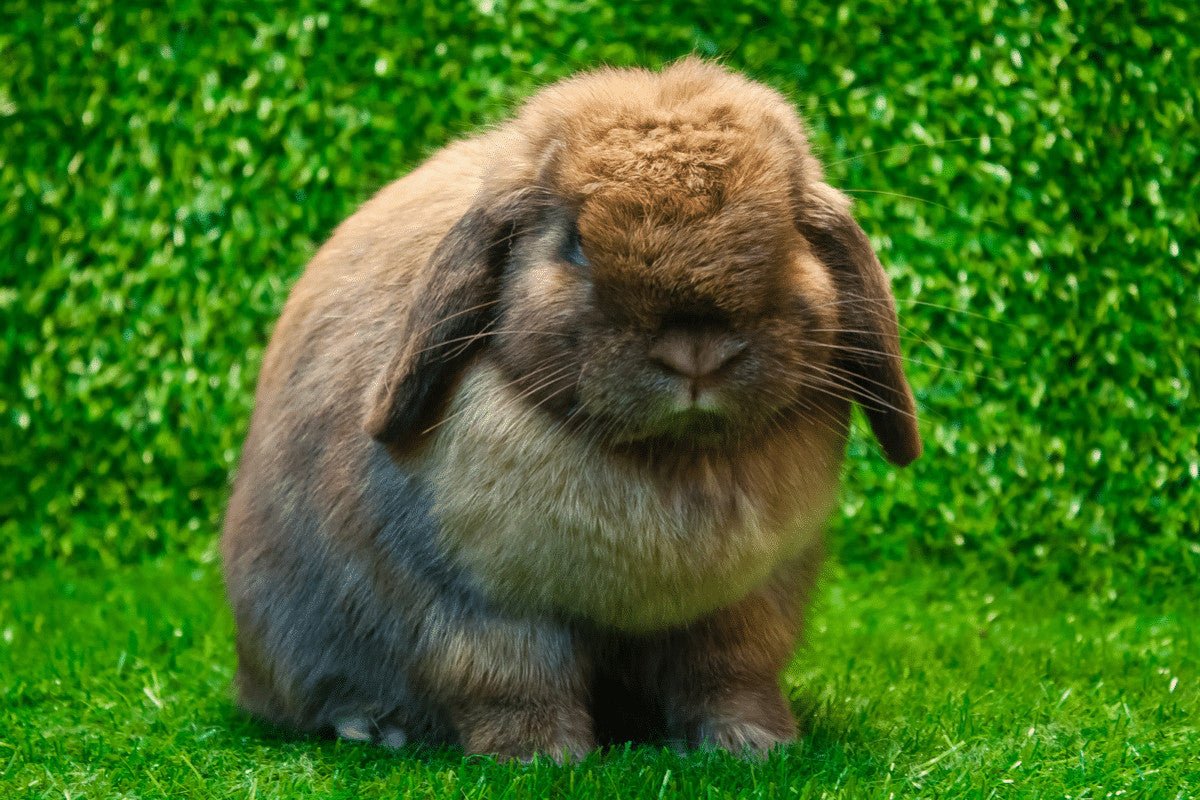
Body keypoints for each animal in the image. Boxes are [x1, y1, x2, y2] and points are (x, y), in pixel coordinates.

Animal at [220, 57, 921, 761]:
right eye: (575, 243)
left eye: (790, 234)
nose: (696, 352)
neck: (669, 459)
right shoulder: (488, 607)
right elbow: (515, 679)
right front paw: (539, 757)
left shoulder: (740, 608)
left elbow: (729, 674)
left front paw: (754, 745)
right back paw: (371, 726)